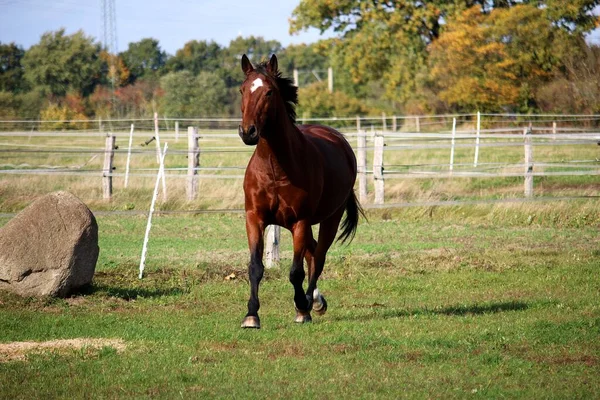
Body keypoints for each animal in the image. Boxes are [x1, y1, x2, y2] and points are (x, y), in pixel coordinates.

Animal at [238, 53, 360, 328]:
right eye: (242, 90)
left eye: (269, 92)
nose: (248, 132)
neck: (276, 168)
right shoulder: (254, 218)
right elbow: (255, 267)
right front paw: (251, 315)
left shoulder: (300, 221)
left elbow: (296, 272)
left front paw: (301, 310)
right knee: (312, 253)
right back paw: (314, 300)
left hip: (329, 219)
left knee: (319, 257)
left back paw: (309, 302)